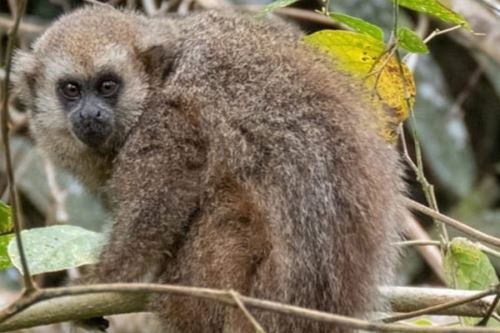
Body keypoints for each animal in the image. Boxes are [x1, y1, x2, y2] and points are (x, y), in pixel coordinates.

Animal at [11, 5, 408, 332]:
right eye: (71, 90)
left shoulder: (167, 121)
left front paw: (104, 279)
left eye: (108, 86)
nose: (90, 114)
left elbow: (159, 204)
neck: (162, 76)